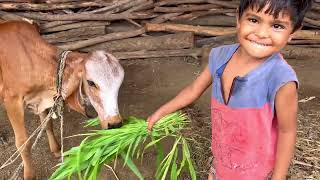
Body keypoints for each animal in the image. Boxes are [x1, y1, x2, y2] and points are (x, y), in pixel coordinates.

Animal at [0, 20, 124, 179]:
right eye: (91, 83)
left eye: (119, 84)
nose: (115, 123)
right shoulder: (12, 101)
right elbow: (23, 143)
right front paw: (29, 175)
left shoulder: (40, 101)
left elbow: (47, 125)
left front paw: (56, 149)